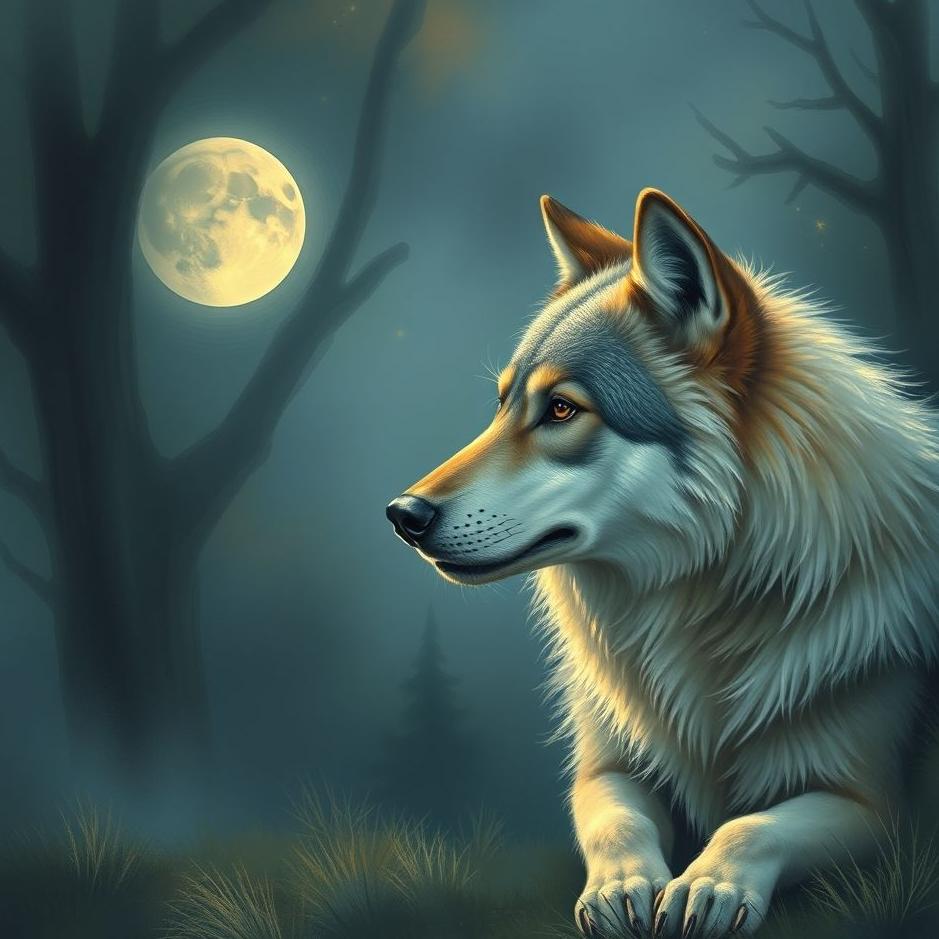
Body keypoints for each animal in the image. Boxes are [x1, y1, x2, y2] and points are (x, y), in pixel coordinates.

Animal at [386, 189, 939, 936]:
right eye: (502, 405)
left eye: (561, 409)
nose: (403, 514)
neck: (697, 611)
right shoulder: (606, 768)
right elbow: (615, 824)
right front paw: (622, 886)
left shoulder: (874, 806)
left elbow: (750, 825)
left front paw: (709, 884)